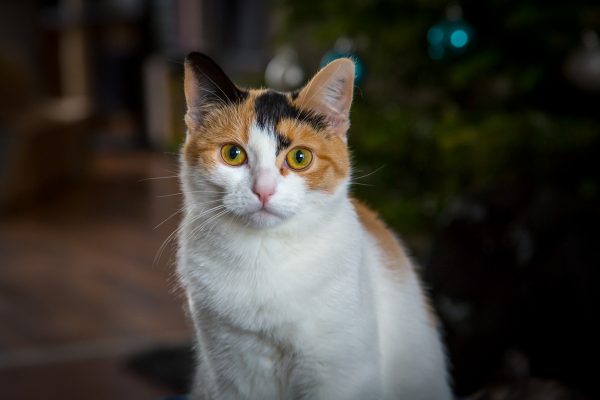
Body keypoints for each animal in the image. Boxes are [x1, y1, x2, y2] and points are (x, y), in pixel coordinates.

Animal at [173, 53, 450, 400]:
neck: (263, 255)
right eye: (232, 154)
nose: (263, 190)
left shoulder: (339, 373)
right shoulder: (231, 371)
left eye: (300, 158)